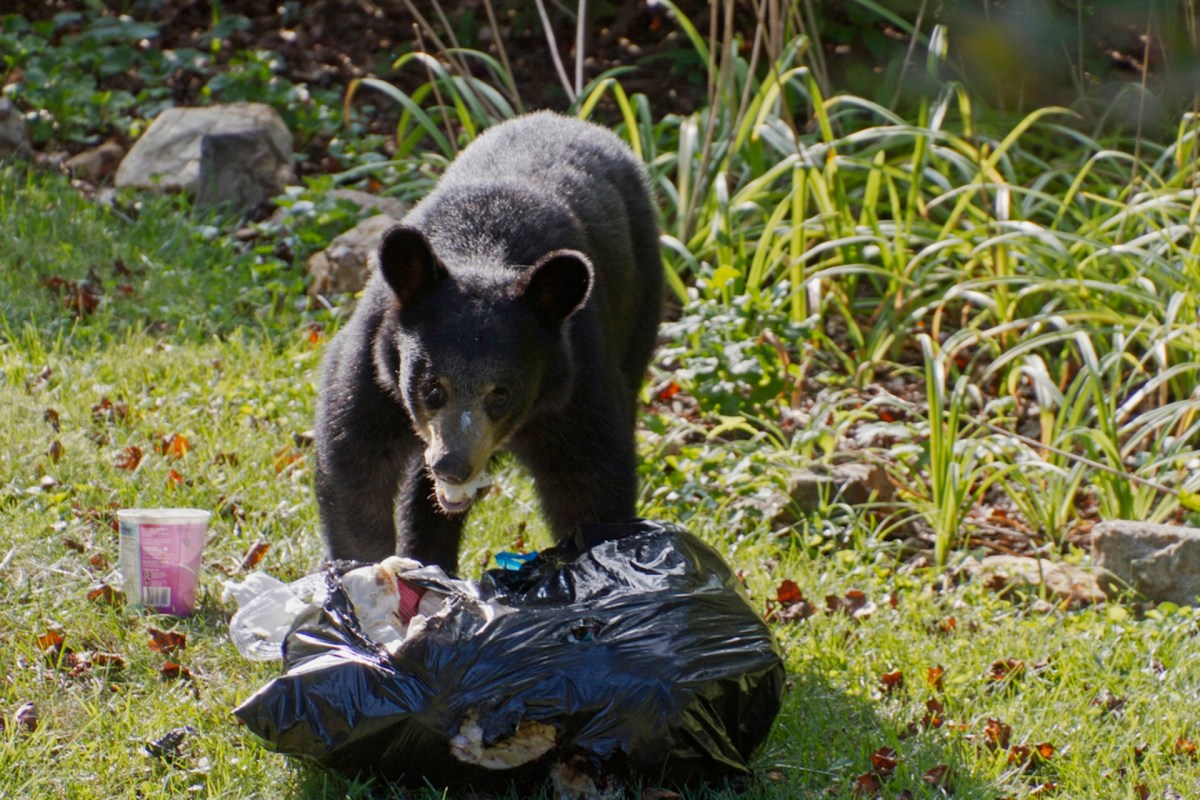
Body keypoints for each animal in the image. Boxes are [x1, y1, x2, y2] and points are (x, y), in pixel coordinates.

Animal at [314, 113, 662, 575]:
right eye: (431, 386)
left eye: (501, 393)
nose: (453, 466)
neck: (482, 251)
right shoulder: (376, 363)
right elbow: (356, 463)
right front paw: (365, 569)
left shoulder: (576, 381)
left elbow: (590, 482)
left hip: (641, 306)